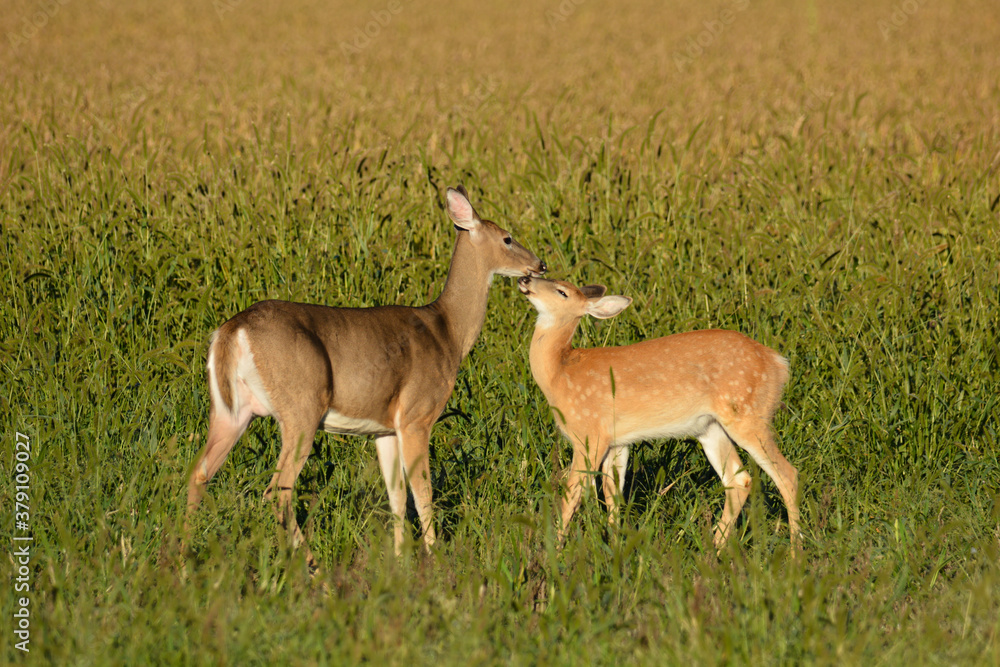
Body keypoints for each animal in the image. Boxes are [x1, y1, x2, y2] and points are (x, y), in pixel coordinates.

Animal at [185, 186, 546, 569]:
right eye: (507, 238)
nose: (540, 265)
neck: (448, 331)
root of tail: (232, 330)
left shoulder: (384, 428)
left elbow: (397, 495)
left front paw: (400, 560)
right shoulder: (416, 415)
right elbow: (422, 491)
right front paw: (433, 557)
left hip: (233, 410)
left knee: (199, 474)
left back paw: (182, 557)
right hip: (301, 408)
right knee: (277, 490)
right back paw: (313, 567)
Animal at [517, 276, 800, 553]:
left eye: (561, 291)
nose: (525, 279)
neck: (559, 374)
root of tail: (779, 363)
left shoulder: (589, 435)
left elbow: (573, 493)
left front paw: (554, 549)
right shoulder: (617, 442)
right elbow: (612, 494)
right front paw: (615, 547)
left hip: (748, 414)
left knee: (787, 474)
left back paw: (796, 550)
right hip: (710, 427)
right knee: (739, 479)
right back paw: (715, 550)